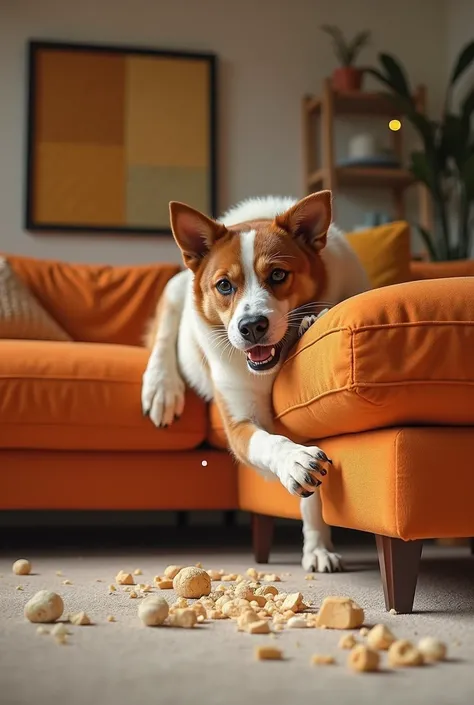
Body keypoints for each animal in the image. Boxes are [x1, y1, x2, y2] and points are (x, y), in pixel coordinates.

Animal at [141, 191, 370, 572]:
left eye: (277, 274)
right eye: (224, 285)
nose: (251, 327)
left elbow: (312, 497)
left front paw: (317, 548)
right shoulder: (239, 425)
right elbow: (269, 442)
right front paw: (294, 461)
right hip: (175, 290)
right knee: (164, 334)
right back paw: (161, 388)